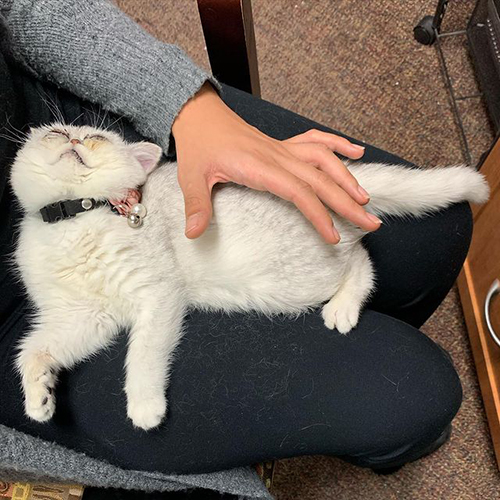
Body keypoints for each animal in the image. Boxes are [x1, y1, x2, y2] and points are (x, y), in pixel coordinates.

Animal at [9, 124, 490, 430]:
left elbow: (143, 354)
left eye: (95, 137)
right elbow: (32, 350)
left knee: (361, 258)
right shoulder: (84, 316)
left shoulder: (158, 293)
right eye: (56, 134)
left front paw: (145, 405)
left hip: (295, 281)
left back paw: (343, 308)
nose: (73, 139)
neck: (72, 220)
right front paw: (39, 396)